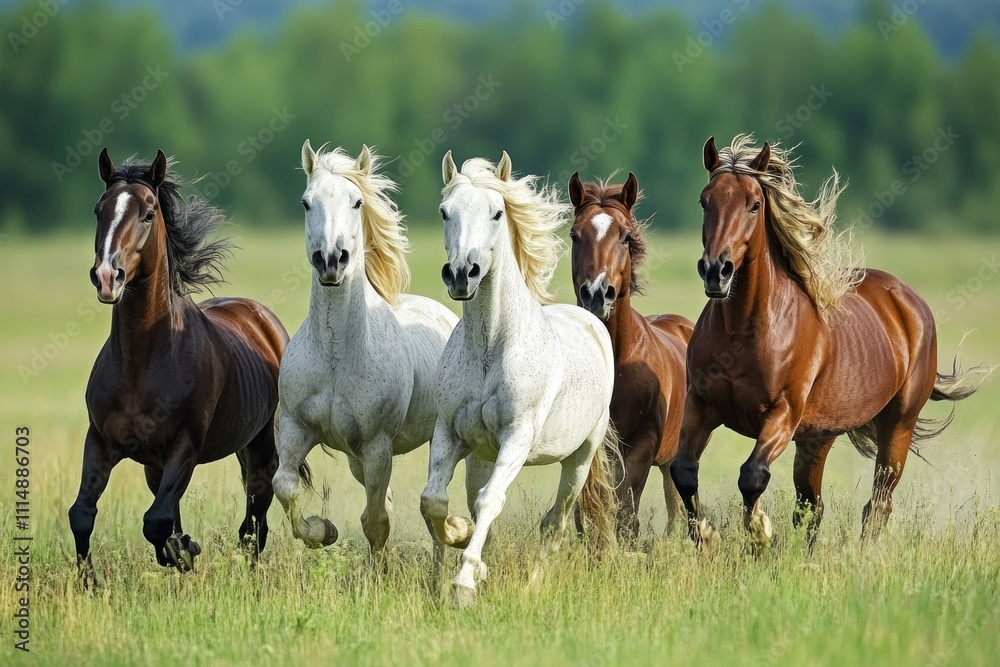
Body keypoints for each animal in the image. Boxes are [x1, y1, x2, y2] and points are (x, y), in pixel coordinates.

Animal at [70, 148, 292, 576]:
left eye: (149, 212)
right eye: (98, 210)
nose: (107, 276)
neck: (141, 362)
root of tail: (263, 319)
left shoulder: (184, 446)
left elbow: (156, 521)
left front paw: (185, 549)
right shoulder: (102, 441)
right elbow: (82, 515)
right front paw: (90, 582)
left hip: (259, 442)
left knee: (256, 513)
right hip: (160, 462)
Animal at [271, 142, 458, 561]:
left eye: (357, 202)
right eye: (306, 203)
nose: (330, 259)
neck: (335, 355)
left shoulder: (377, 446)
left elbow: (376, 523)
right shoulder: (296, 428)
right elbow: (285, 486)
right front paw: (322, 531)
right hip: (355, 458)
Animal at [420, 150, 619, 608]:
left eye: (497, 212)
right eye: (444, 212)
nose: (463, 273)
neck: (491, 347)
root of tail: (591, 322)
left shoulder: (517, 437)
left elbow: (491, 501)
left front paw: (463, 585)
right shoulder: (450, 433)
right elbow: (434, 501)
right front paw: (459, 536)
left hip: (580, 458)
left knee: (555, 523)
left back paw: (532, 586)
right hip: (480, 456)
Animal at [568, 172, 693, 543]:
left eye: (624, 236)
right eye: (574, 235)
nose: (597, 294)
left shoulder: (641, 447)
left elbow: (626, 515)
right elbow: (587, 512)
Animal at [670, 134, 985, 548]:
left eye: (755, 204)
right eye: (705, 200)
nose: (715, 271)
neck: (741, 330)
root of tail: (908, 301)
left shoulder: (782, 414)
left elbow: (752, 475)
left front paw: (759, 533)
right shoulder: (701, 404)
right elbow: (684, 470)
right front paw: (706, 537)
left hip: (897, 426)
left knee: (876, 505)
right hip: (817, 439)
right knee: (811, 509)